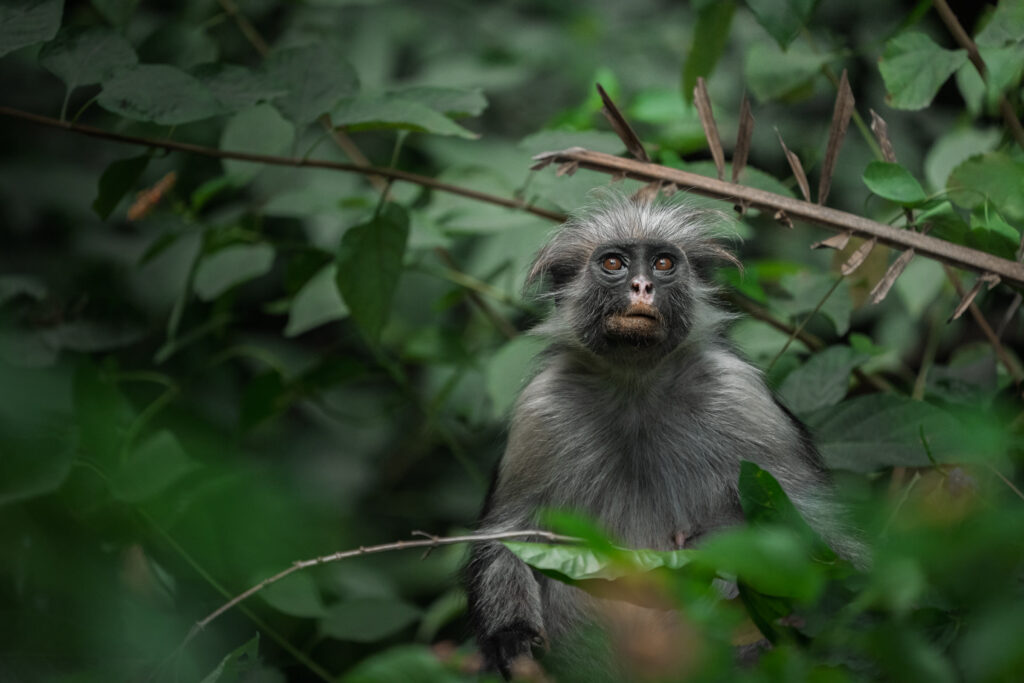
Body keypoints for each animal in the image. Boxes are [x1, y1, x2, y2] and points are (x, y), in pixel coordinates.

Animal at [463, 195, 864, 680]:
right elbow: (508, 535)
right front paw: (512, 637)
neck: (636, 383)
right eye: (613, 263)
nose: (642, 286)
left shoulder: (742, 396)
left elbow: (828, 534)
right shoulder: (541, 409)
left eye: (663, 263)